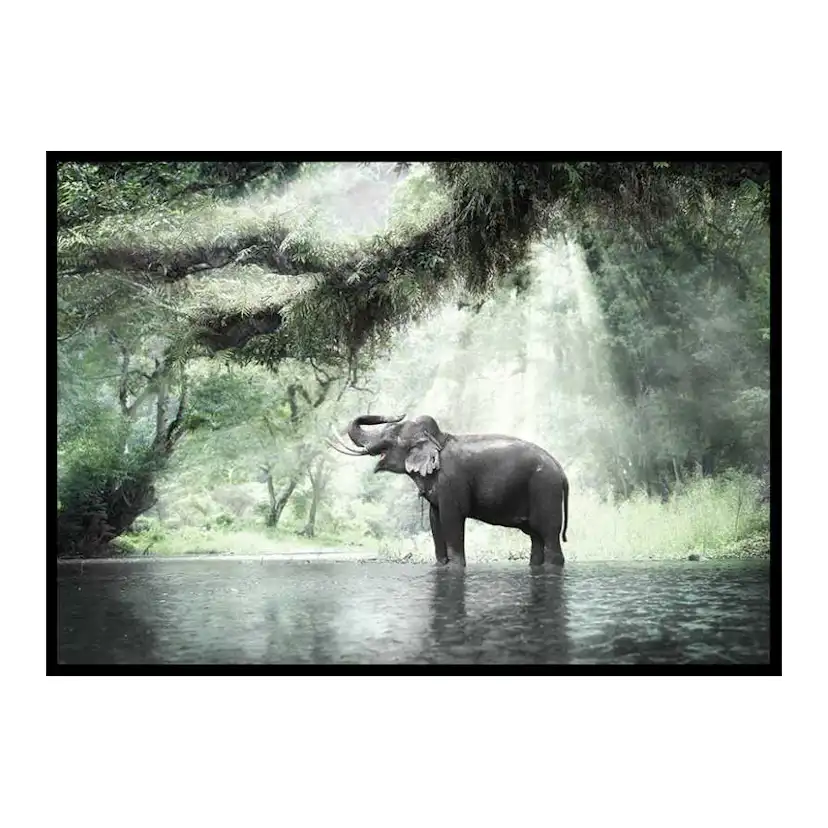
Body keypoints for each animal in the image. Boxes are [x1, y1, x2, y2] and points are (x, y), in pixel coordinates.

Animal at [329, 414, 569, 567]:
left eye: (389, 438)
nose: (396, 414)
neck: (438, 438)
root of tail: (562, 472)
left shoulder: (451, 481)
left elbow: (452, 517)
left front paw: (455, 567)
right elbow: (435, 520)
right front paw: (440, 566)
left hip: (545, 491)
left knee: (549, 535)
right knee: (536, 538)